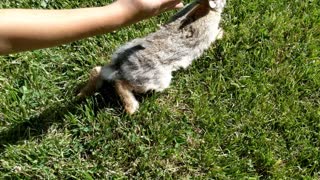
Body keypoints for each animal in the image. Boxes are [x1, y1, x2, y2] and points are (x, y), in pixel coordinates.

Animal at [77, 0, 226, 114]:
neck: (206, 8)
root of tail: (119, 66)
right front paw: (221, 33)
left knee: (98, 70)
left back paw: (81, 94)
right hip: (154, 81)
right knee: (120, 83)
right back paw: (132, 108)